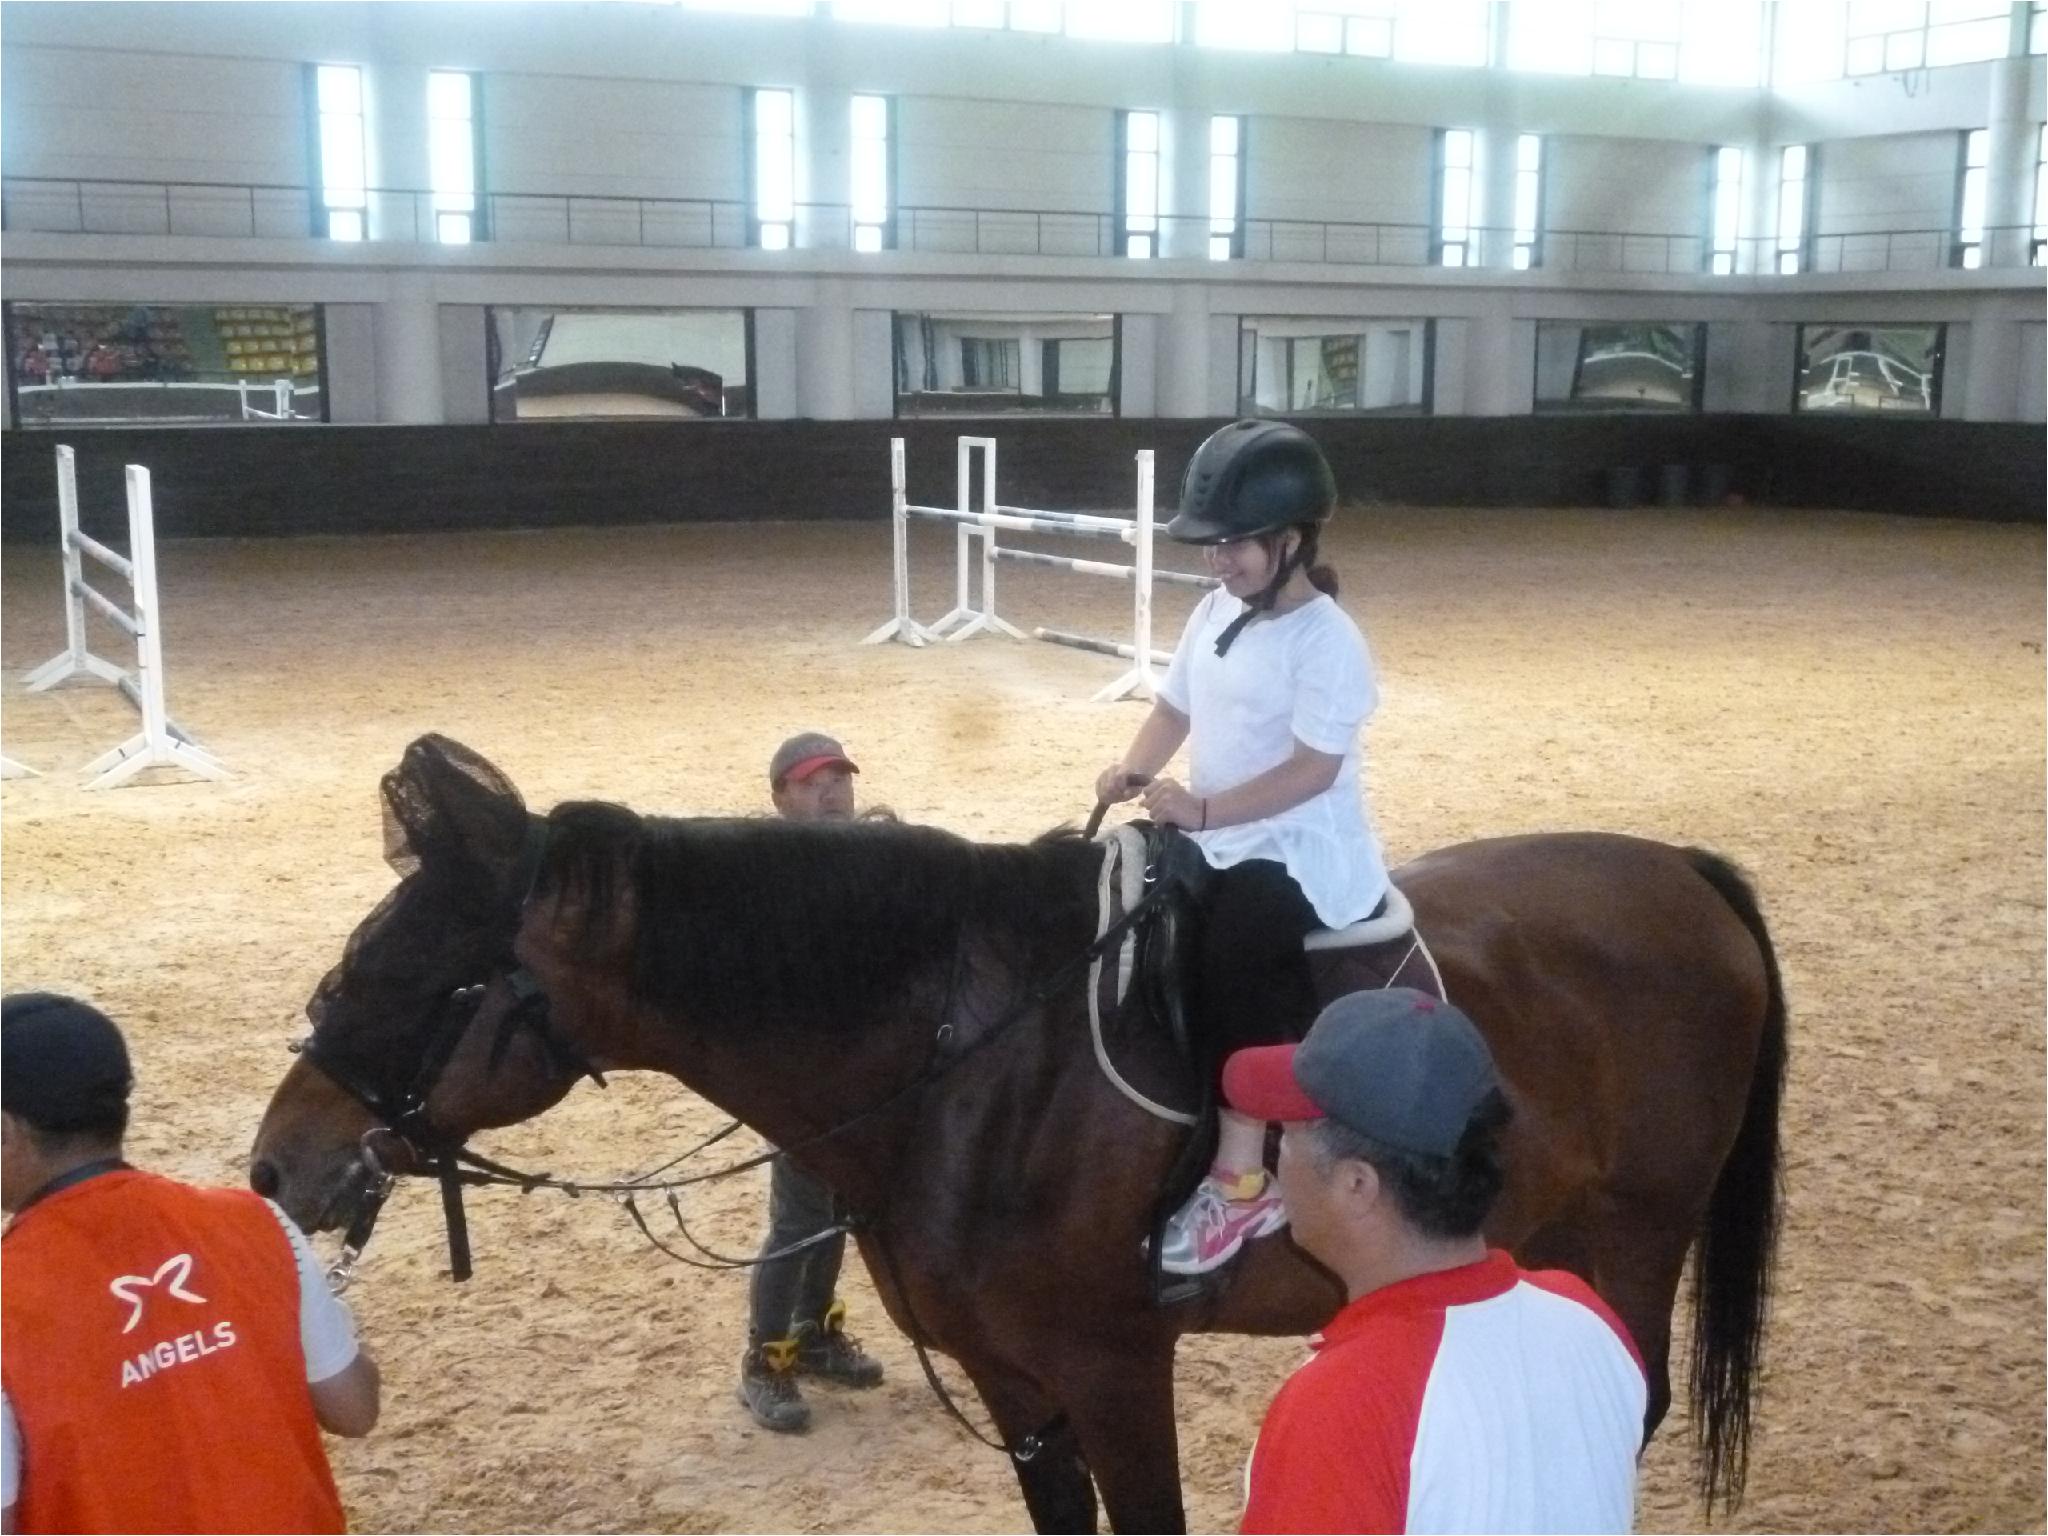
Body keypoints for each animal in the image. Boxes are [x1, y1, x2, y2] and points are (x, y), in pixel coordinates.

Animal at [247, 741, 1785, 1531]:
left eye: (422, 981)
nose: (276, 1164)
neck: (966, 1060)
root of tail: (1674, 870)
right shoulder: (1006, 1375)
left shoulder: (1114, 1368)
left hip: (1639, 1229)